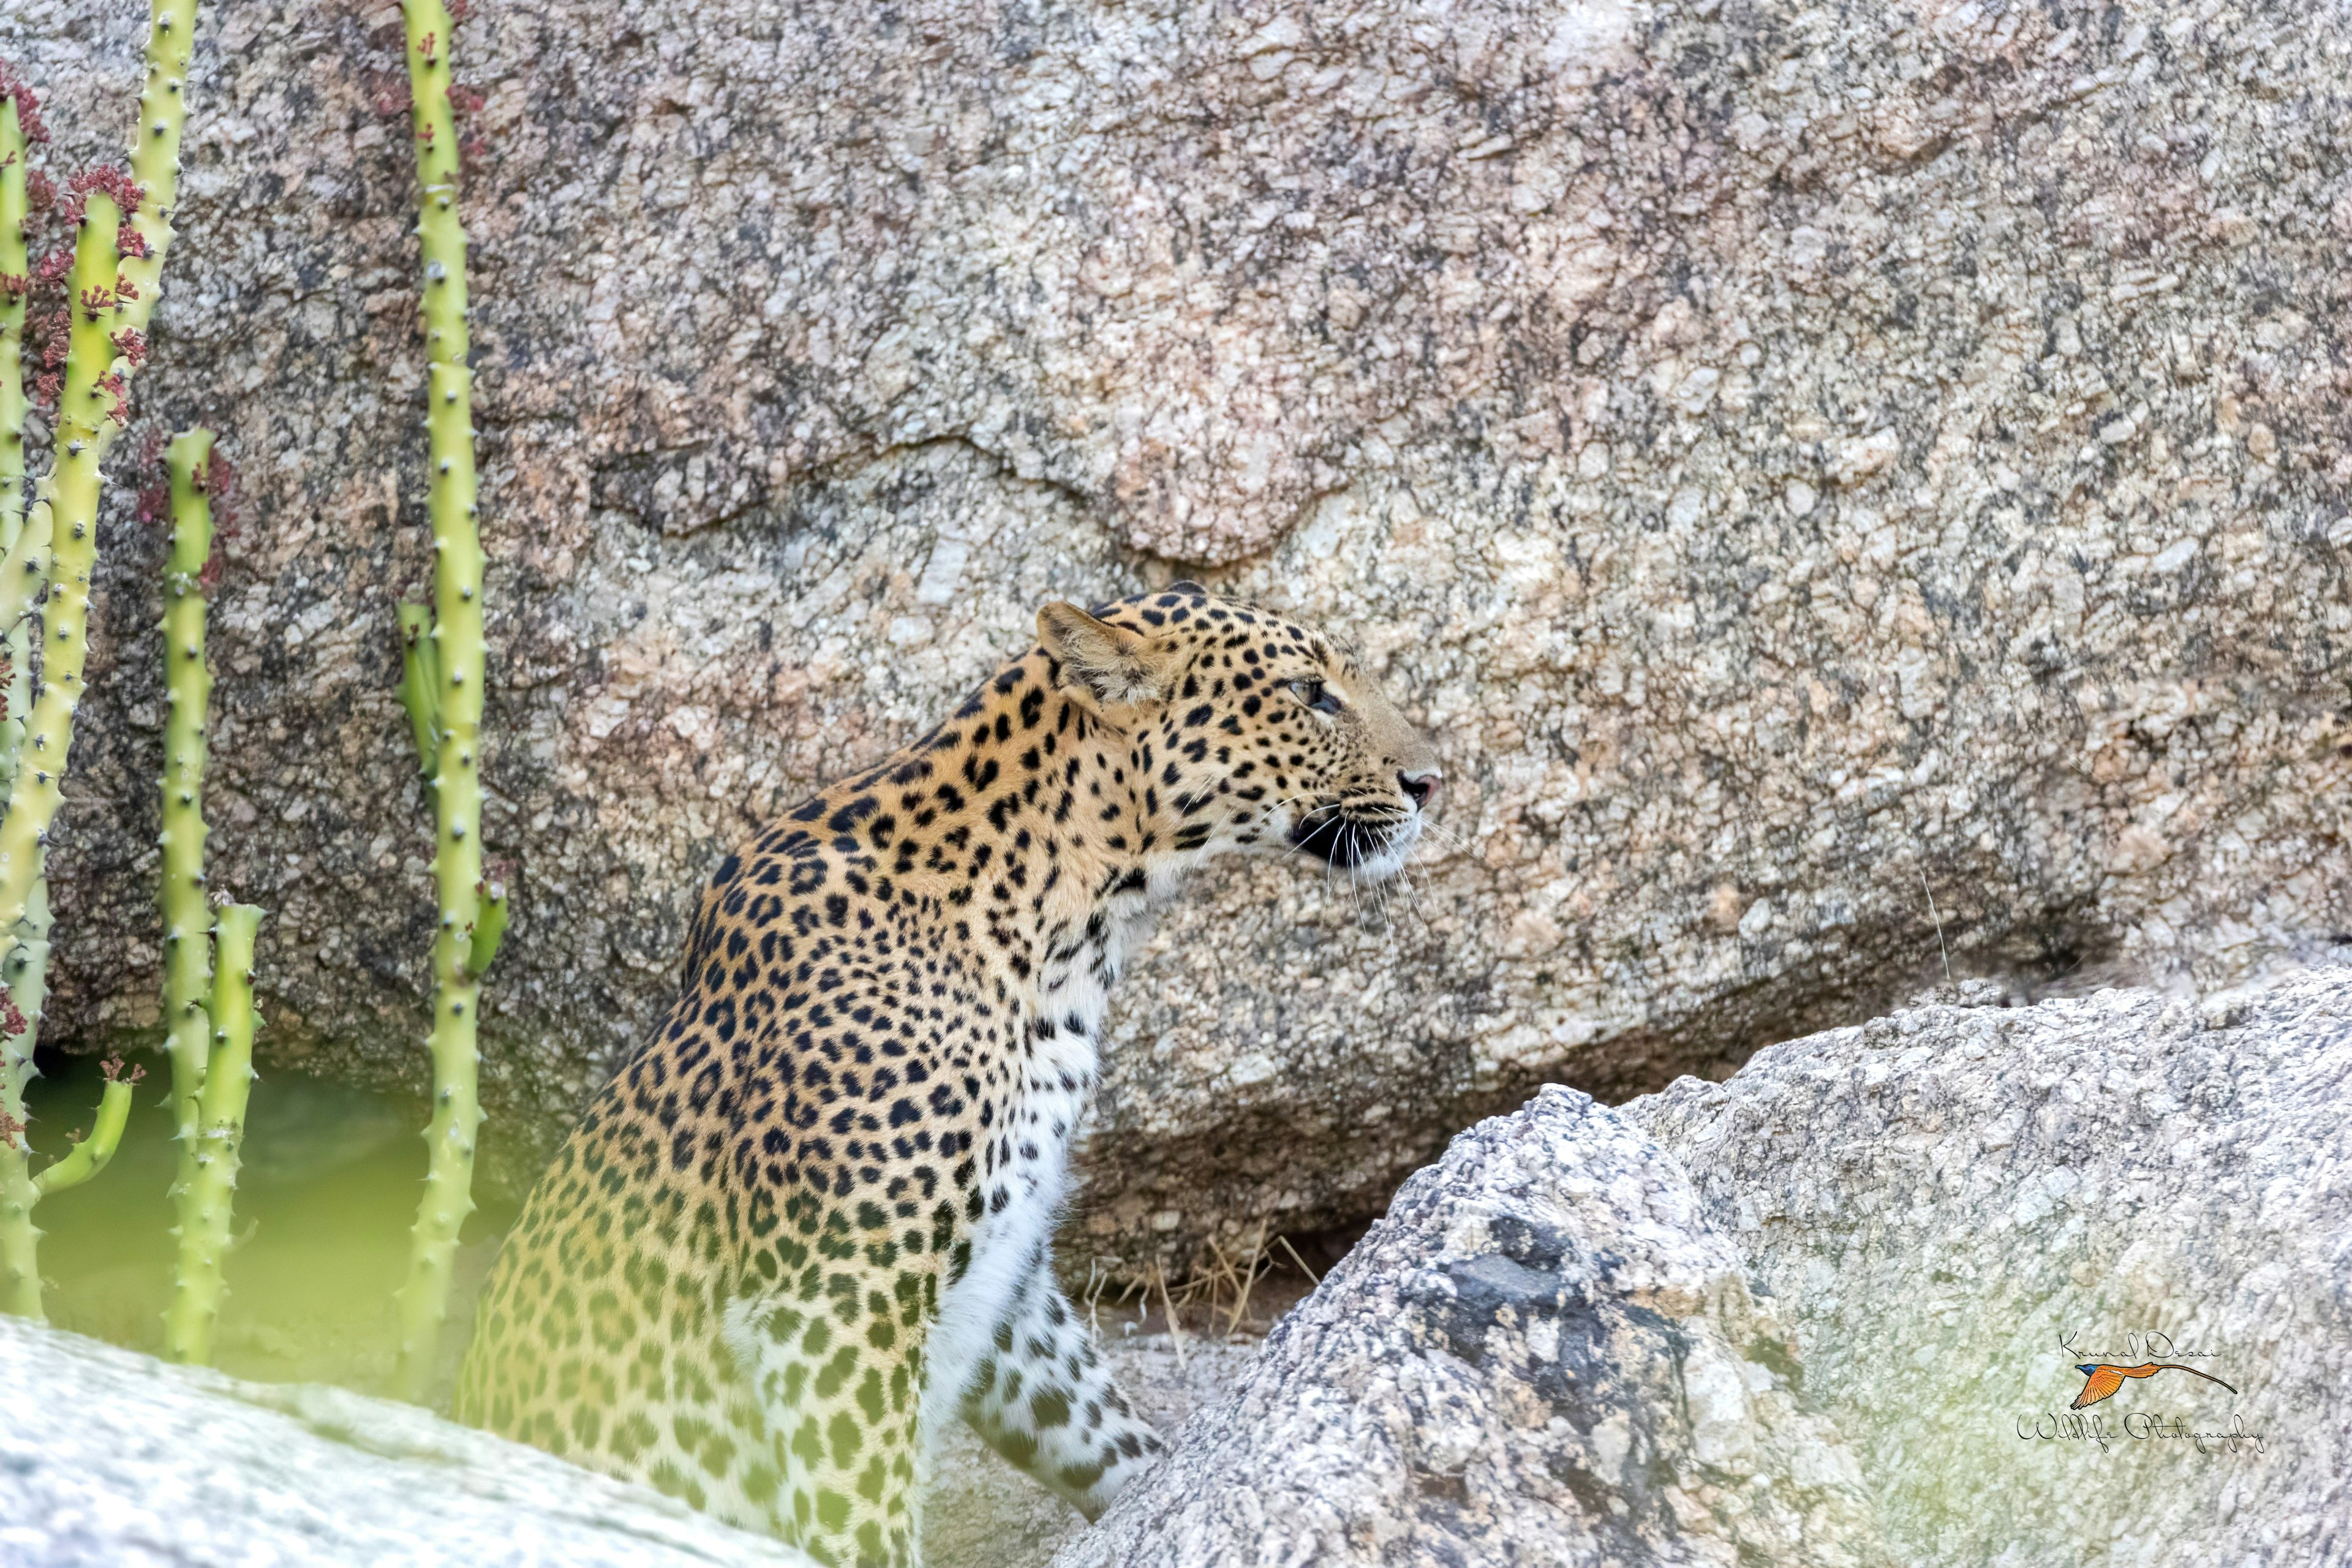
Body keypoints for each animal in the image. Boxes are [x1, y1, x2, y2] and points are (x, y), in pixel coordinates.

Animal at [449, 585, 1439, 1568]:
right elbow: (863, 1518)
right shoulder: (838, 1308)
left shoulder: (1009, 1277)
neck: (1073, 938)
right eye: (1310, 694)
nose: (1433, 781)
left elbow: (1104, 1434)